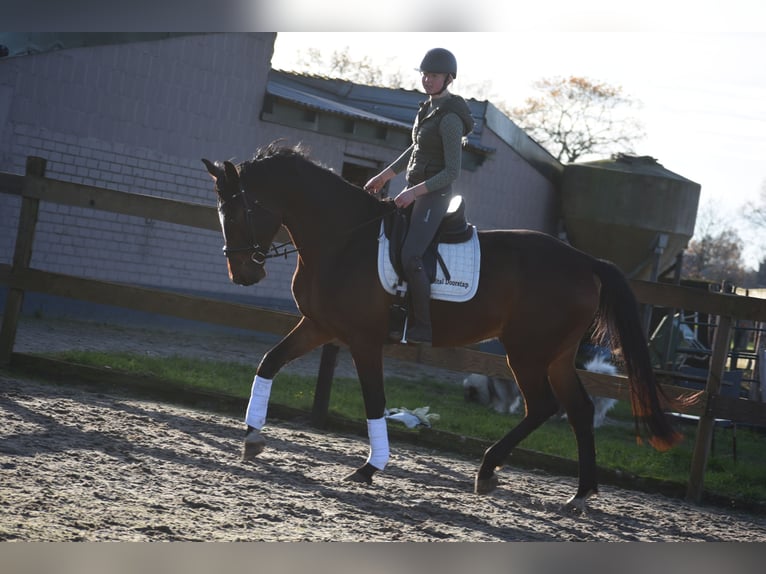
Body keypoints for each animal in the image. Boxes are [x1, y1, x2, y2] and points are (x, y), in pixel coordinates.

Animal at [202, 141, 688, 509]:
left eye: (239, 211)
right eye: (220, 211)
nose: (242, 275)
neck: (343, 239)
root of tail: (586, 261)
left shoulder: (362, 339)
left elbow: (375, 400)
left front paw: (370, 468)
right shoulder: (319, 326)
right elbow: (268, 363)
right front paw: (252, 437)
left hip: (527, 352)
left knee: (543, 406)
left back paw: (489, 471)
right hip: (556, 355)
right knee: (580, 409)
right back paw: (580, 495)